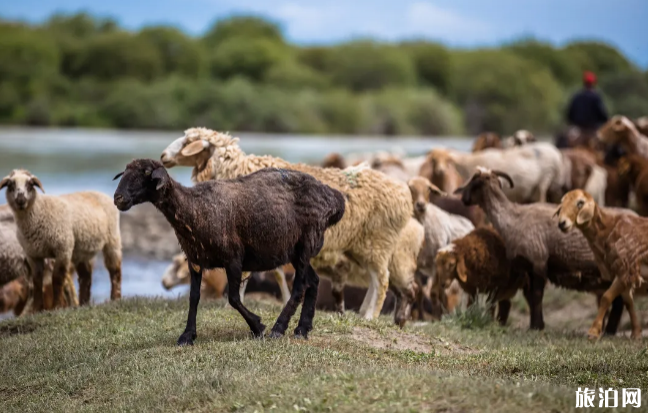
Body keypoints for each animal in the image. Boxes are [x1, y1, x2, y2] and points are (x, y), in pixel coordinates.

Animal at [0, 168, 123, 308]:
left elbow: (57, 279)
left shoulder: (62, 249)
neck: (39, 211)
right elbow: (37, 281)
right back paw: (83, 304)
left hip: (112, 239)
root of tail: (97, 192)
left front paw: (57, 306)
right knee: (85, 276)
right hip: (81, 249)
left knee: (115, 270)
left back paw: (115, 298)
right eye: (10, 185)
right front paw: (38, 307)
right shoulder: (33, 254)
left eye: (30, 185)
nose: (20, 199)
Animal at [112, 159, 344, 342]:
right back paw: (302, 329)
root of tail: (334, 198)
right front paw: (187, 335)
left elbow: (233, 298)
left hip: (306, 242)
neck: (193, 208)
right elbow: (194, 297)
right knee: (313, 281)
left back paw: (278, 329)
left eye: (146, 174)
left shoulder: (233, 258)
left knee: (299, 287)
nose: (118, 198)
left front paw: (257, 326)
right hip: (295, 251)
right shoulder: (194, 260)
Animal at [159, 129, 412, 318]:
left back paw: (370, 315)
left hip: (377, 241)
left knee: (382, 280)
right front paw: (284, 300)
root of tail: (402, 191)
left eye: (187, 142)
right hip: (363, 246)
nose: (162, 156)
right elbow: (278, 273)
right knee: (375, 280)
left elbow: (249, 273)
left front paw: (236, 303)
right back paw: (363, 311)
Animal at [454, 167, 632, 332]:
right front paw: (536, 324)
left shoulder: (538, 260)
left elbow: (537, 295)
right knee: (619, 300)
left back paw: (610, 330)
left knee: (618, 302)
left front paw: (536, 326)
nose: (462, 198)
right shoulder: (528, 267)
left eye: (474, 182)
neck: (512, 218)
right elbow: (531, 297)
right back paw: (610, 330)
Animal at [556, 190, 648, 338]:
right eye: (562, 202)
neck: (608, 229)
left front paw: (593, 332)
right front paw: (636, 333)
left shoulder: (626, 268)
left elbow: (606, 297)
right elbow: (628, 302)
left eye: (580, 203)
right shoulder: (623, 273)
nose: (562, 223)